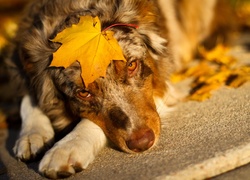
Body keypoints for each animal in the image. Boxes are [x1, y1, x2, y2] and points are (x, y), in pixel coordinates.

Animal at [0, 0, 234, 178]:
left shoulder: (162, 87)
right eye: (83, 93)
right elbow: (28, 99)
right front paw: (32, 134)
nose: (143, 143)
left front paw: (66, 149)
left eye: (132, 66)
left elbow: (88, 123)